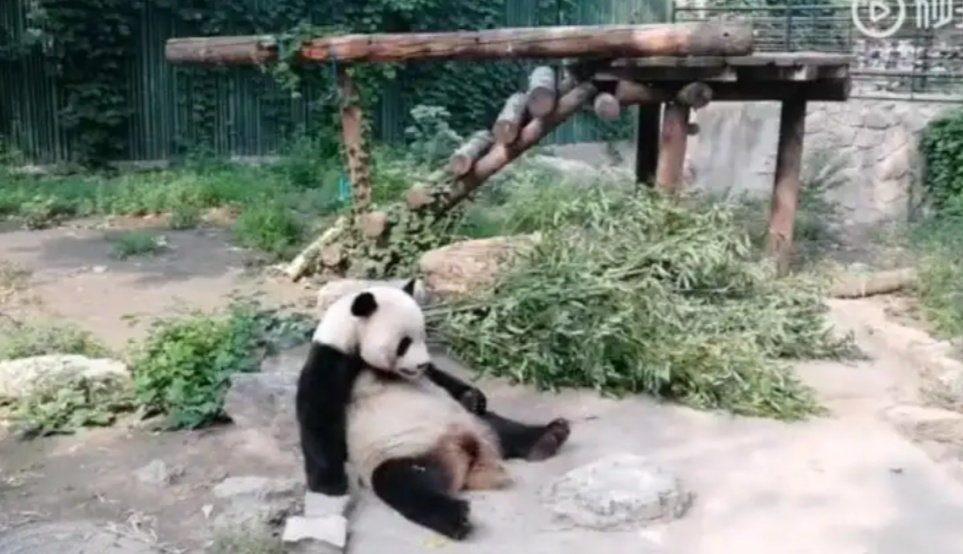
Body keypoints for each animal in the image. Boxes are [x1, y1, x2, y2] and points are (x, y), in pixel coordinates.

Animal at [298, 278, 572, 536]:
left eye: (423, 337)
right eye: (404, 343)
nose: (421, 364)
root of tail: (466, 452)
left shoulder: (425, 375)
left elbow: (442, 377)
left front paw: (473, 396)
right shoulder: (332, 360)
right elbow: (318, 416)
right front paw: (329, 485)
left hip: (471, 422)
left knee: (501, 426)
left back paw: (549, 436)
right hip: (406, 453)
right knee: (404, 484)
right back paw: (456, 517)